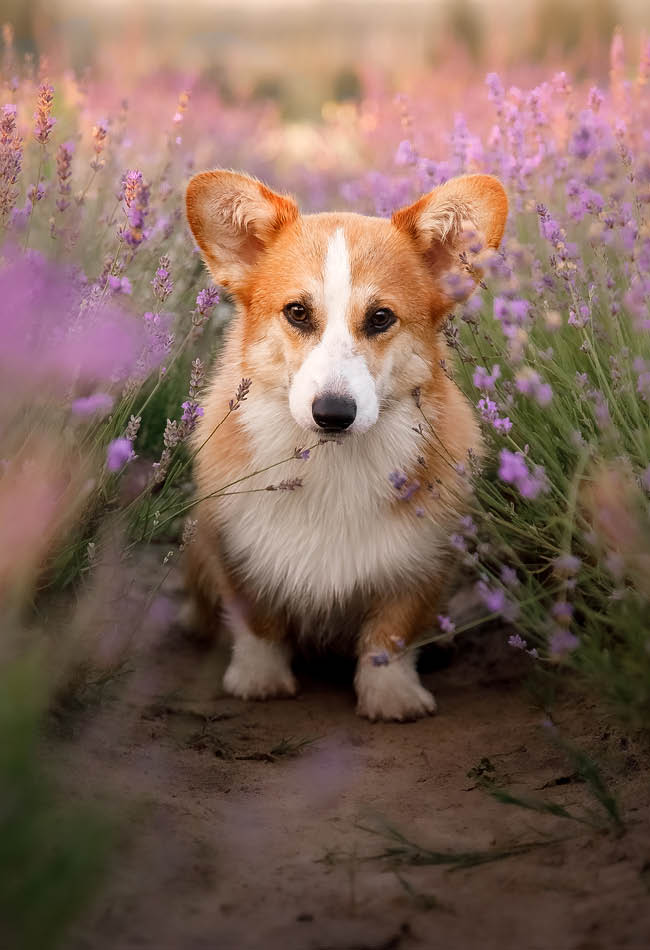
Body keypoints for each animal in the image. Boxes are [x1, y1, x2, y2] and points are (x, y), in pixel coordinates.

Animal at [182, 171, 506, 720]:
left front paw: (392, 696)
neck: (333, 465)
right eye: (296, 312)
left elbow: (391, 634)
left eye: (380, 318)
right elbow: (258, 622)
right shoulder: (235, 550)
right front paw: (259, 680)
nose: (333, 413)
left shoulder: (422, 563)